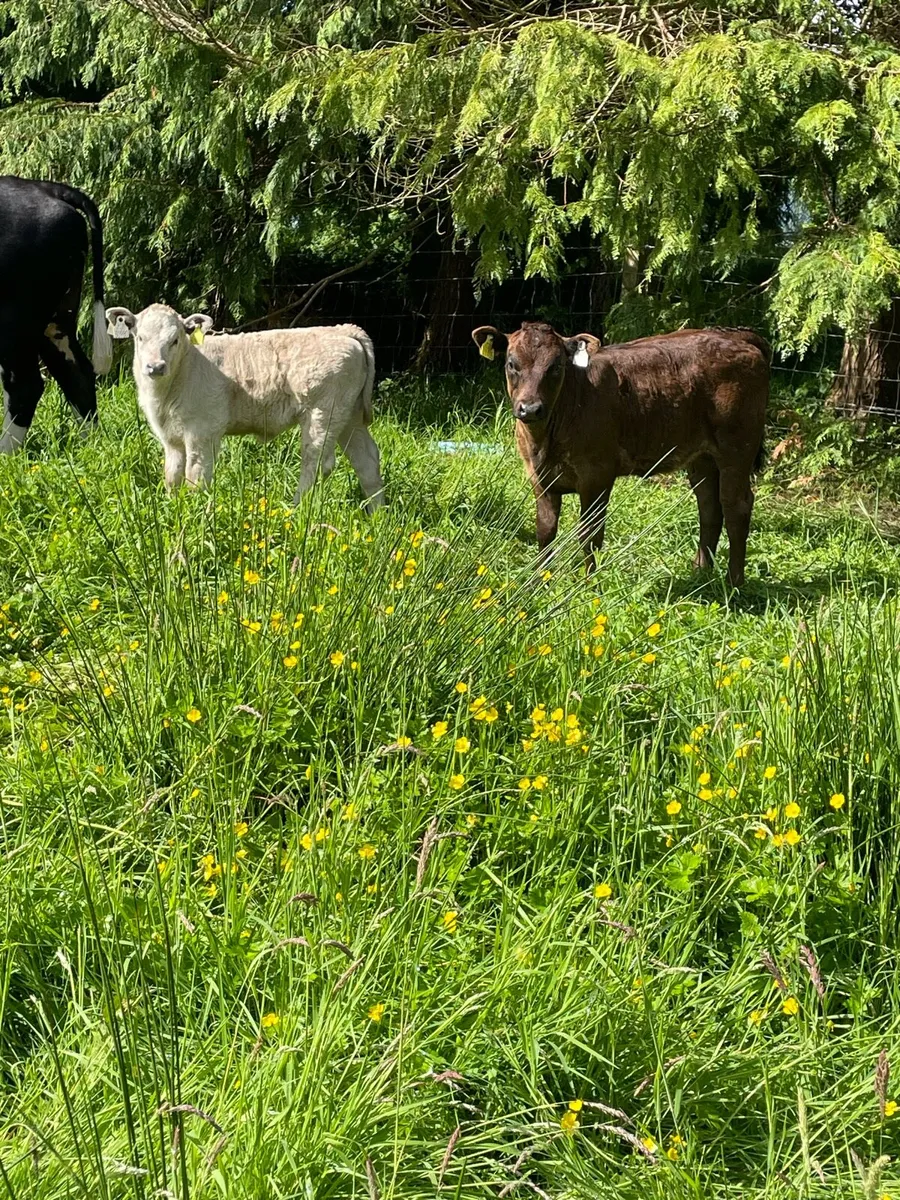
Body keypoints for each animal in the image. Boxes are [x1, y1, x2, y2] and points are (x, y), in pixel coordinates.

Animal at [0, 176, 112, 453]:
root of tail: (44, 188)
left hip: (15, 320)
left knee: (26, 386)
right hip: (56, 321)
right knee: (78, 374)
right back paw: (89, 446)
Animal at [104, 303, 385, 510]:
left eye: (175, 340)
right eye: (140, 337)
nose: (155, 367)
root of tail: (343, 330)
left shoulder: (202, 432)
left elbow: (196, 476)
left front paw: (194, 516)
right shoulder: (171, 439)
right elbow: (172, 477)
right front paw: (173, 510)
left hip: (323, 412)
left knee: (316, 462)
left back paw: (295, 511)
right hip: (348, 414)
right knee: (367, 459)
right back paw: (377, 515)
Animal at [471, 322, 769, 587]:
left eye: (556, 366)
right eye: (512, 364)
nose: (530, 408)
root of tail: (735, 336)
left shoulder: (597, 475)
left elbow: (590, 534)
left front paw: (588, 585)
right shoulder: (539, 478)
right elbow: (545, 531)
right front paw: (538, 584)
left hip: (737, 449)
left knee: (736, 506)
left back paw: (733, 583)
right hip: (702, 457)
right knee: (709, 507)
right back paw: (700, 572)